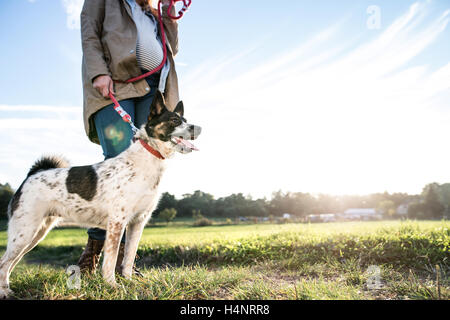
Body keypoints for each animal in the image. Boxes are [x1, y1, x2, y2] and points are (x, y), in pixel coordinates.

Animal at [0, 90, 201, 298]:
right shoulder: (117, 223)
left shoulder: (138, 223)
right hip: (24, 232)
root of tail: (31, 175)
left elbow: (128, 258)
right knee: (4, 264)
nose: (199, 128)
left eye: (185, 120)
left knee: (10, 264)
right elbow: (110, 261)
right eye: (174, 120)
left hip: (34, 233)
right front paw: (112, 285)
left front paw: (129, 282)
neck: (149, 158)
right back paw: (5, 292)